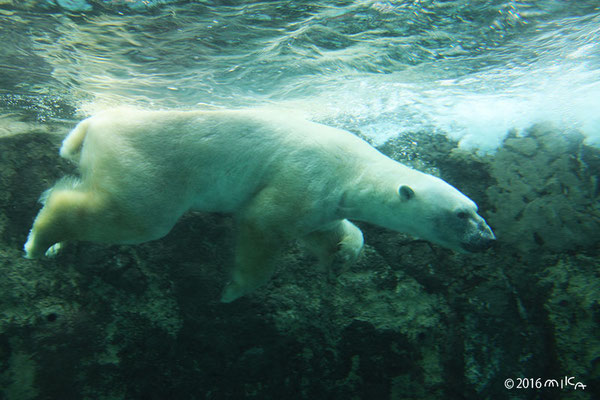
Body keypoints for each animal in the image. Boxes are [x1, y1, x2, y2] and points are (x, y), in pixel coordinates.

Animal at [23, 108, 494, 302]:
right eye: (461, 214)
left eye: (476, 209)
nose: (488, 240)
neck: (354, 167)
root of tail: (91, 125)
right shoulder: (306, 173)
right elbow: (264, 222)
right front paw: (233, 290)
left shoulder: (321, 197)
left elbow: (324, 228)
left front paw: (342, 254)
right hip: (150, 163)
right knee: (138, 217)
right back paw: (40, 237)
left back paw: (56, 245)